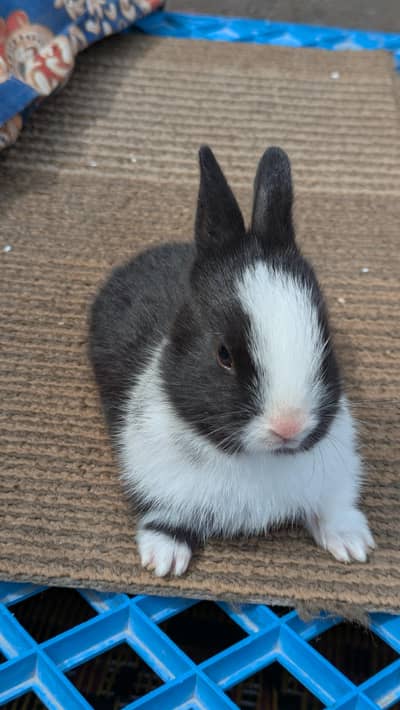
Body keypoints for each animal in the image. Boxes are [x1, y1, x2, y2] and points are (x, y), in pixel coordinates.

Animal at [89, 145, 375, 577]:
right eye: (223, 354)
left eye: (324, 338)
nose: (289, 427)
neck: (258, 460)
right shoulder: (156, 477)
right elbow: (165, 517)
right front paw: (164, 560)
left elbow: (333, 507)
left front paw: (353, 544)